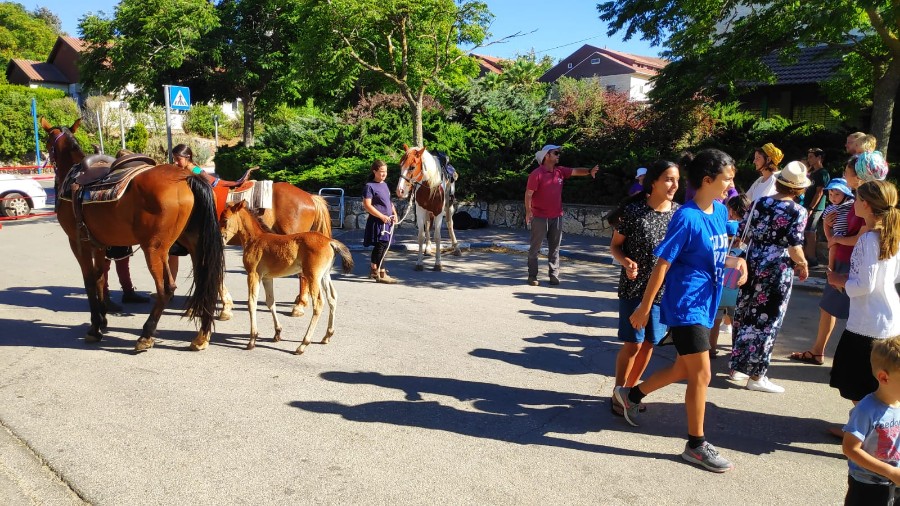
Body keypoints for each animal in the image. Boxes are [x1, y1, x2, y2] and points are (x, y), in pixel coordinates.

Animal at [40, 117, 225, 352]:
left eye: (47, 142)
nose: (45, 158)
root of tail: (186, 178)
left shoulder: (78, 243)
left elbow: (90, 281)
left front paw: (95, 326)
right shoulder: (99, 244)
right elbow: (100, 278)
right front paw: (102, 319)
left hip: (154, 249)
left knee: (166, 289)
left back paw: (146, 335)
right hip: (194, 245)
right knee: (206, 283)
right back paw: (201, 335)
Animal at [220, 200, 354, 354]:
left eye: (225, 220)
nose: (220, 237)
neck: (255, 239)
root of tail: (329, 241)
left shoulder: (253, 274)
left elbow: (251, 303)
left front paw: (252, 339)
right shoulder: (266, 278)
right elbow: (270, 302)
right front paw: (277, 333)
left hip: (313, 276)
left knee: (319, 304)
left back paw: (303, 344)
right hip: (325, 276)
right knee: (332, 298)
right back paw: (327, 335)